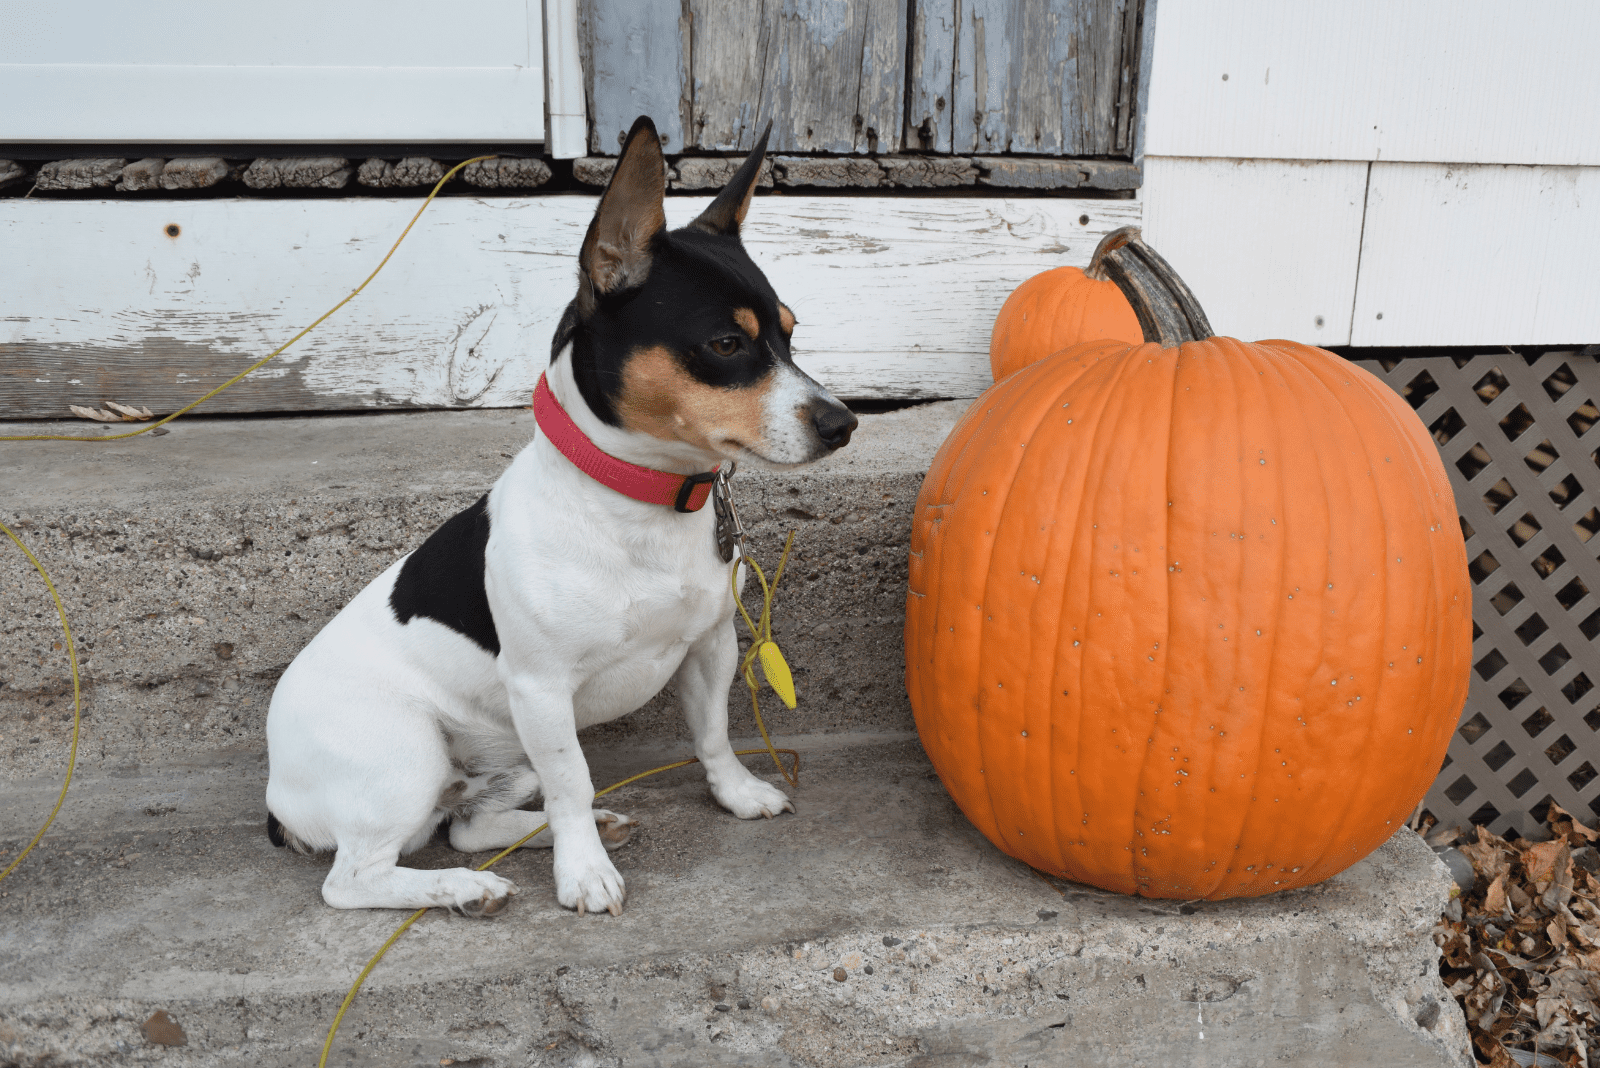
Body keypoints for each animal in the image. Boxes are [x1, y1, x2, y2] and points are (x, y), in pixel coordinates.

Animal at [267, 116, 857, 920]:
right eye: (727, 344)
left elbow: (713, 732)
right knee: (355, 879)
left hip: (502, 759)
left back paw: (548, 834)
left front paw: (734, 794)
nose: (844, 423)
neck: (643, 499)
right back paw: (468, 888)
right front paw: (584, 872)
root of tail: (275, 794)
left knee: (469, 824)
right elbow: (573, 779)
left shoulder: (709, 648)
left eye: (790, 334)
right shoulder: (542, 692)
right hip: (407, 758)